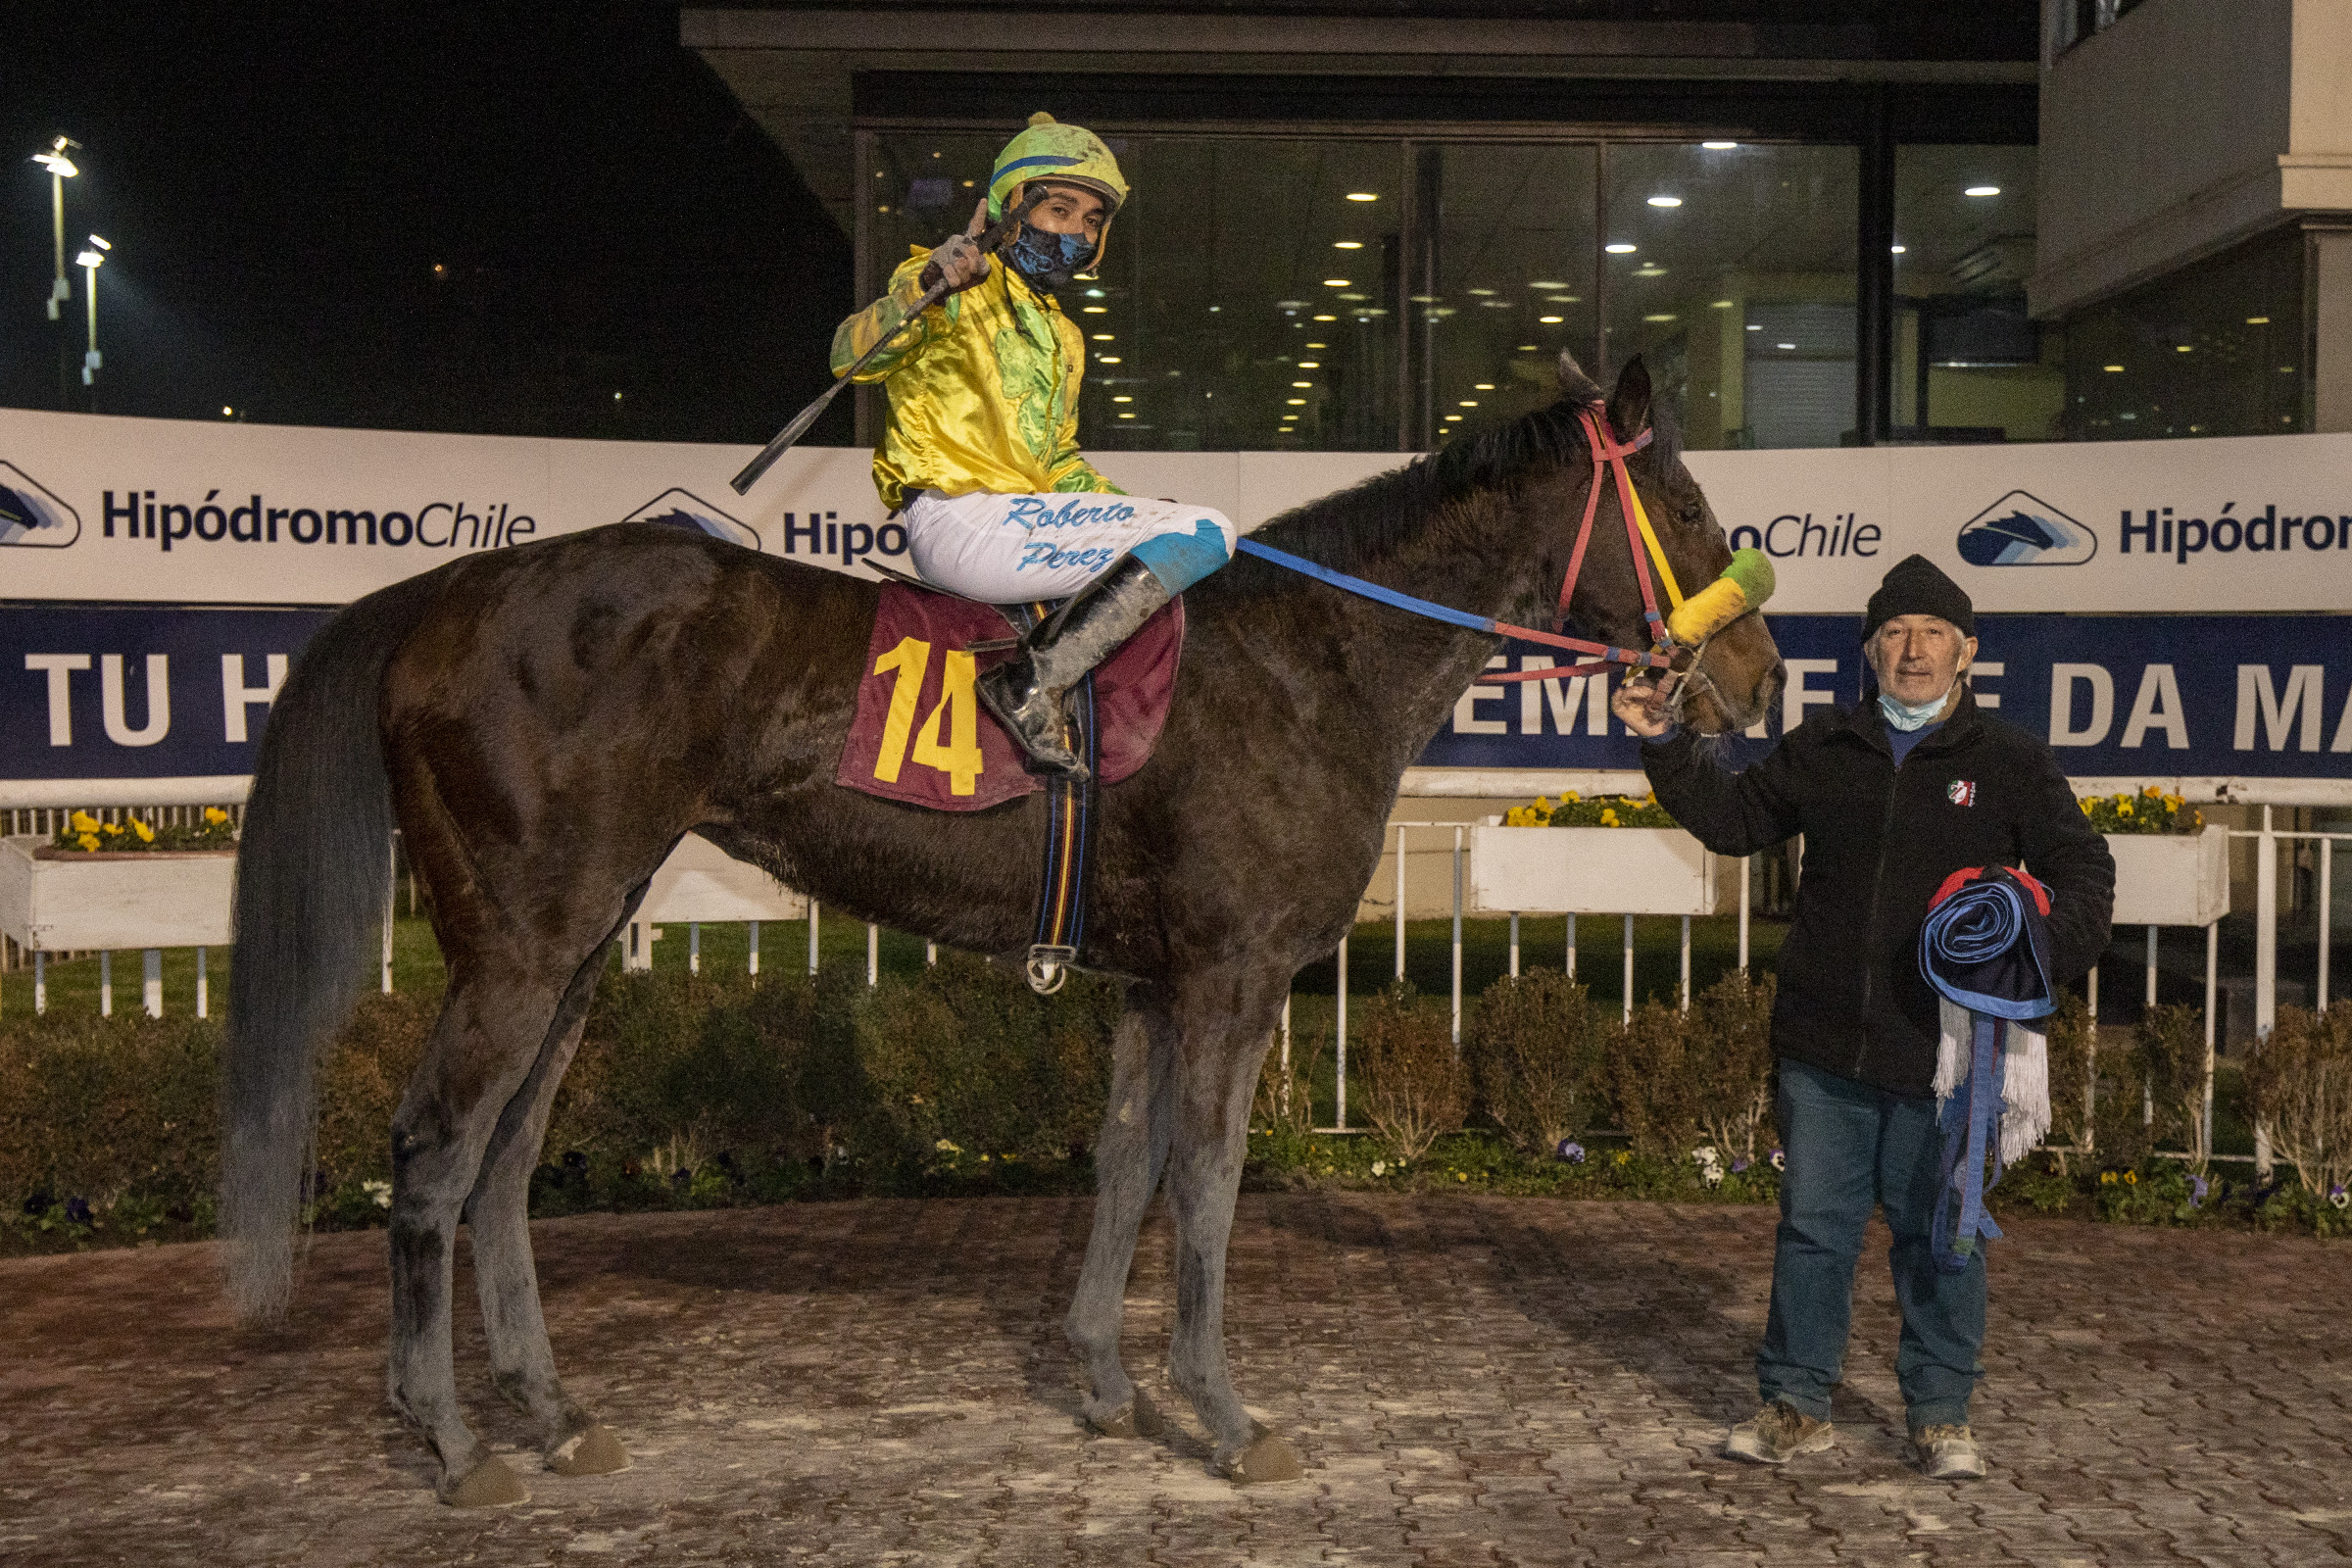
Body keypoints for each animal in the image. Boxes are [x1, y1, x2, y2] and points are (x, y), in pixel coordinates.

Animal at [220, 350, 1784, 1506]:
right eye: (1690, 510)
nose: (1764, 678)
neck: (1306, 662)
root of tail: (443, 591)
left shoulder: (1152, 980)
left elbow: (1126, 1164)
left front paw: (1105, 1380)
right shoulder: (1234, 975)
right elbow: (1207, 1180)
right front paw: (1224, 1415)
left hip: (581, 943)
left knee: (506, 1159)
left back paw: (550, 1413)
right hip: (522, 944)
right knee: (435, 1148)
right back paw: (449, 1438)